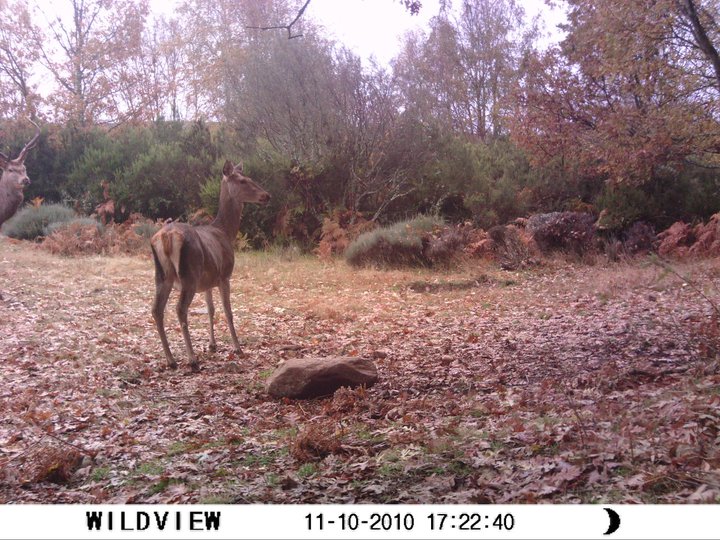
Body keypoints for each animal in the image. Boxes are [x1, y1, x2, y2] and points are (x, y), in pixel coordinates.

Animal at [150, 160, 270, 372]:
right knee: (180, 309)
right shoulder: (224, 275)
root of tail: (166, 237)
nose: (266, 196)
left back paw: (171, 360)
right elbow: (228, 311)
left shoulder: (207, 282)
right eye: (243, 180)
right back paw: (192, 360)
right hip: (189, 274)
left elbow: (211, 309)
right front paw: (237, 347)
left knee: (157, 309)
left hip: (162, 275)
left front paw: (212, 345)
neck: (225, 231)